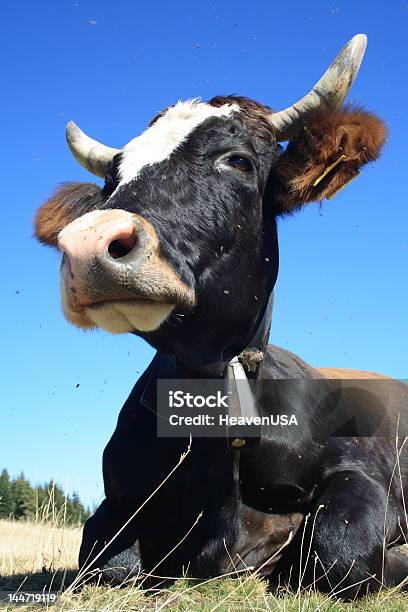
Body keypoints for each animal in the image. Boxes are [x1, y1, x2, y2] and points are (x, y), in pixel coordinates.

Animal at [34, 34, 408, 596]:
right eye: (108, 183)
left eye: (239, 162)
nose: (87, 243)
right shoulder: (116, 498)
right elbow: (106, 563)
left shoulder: (365, 472)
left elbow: (337, 551)